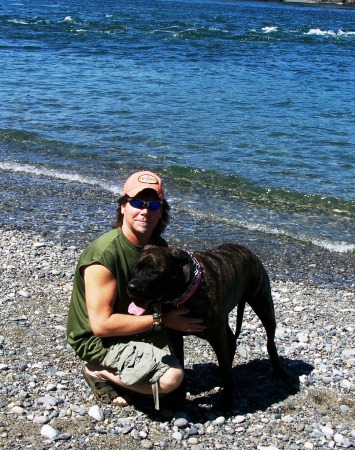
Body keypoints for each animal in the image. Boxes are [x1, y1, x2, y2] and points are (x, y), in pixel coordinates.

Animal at [128, 244, 286, 410]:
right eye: (135, 268)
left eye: (154, 272)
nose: (131, 286)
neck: (183, 294)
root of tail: (247, 251)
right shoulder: (173, 337)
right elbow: (180, 368)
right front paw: (177, 400)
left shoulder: (217, 337)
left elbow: (226, 375)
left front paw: (226, 401)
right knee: (231, 341)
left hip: (263, 305)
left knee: (269, 341)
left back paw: (279, 371)